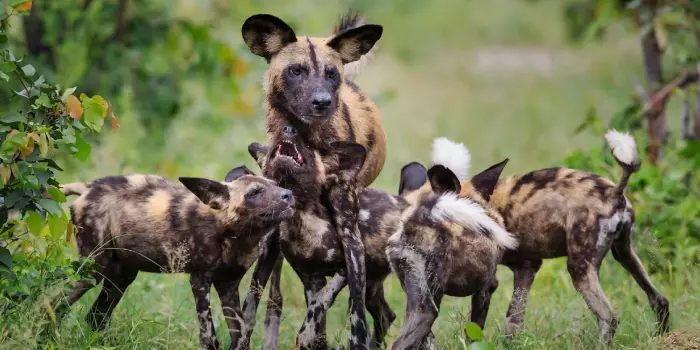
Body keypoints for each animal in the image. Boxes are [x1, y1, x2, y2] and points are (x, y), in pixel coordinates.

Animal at [55, 170, 292, 350]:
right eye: (254, 193)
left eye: (276, 185)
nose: (288, 194)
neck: (236, 236)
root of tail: (87, 188)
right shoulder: (200, 281)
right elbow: (209, 337)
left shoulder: (228, 285)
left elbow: (241, 336)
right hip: (93, 271)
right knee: (55, 304)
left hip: (121, 278)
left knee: (95, 317)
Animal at [239, 11, 382, 348]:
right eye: (296, 71)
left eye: (331, 74)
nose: (321, 101)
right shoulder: (273, 241)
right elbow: (250, 307)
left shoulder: (351, 241)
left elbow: (352, 313)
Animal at [434, 130, 668, 344]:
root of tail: (615, 191)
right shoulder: (526, 268)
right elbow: (514, 322)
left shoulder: (489, 283)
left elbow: (475, 330)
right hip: (624, 254)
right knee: (659, 300)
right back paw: (662, 338)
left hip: (579, 268)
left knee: (608, 318)